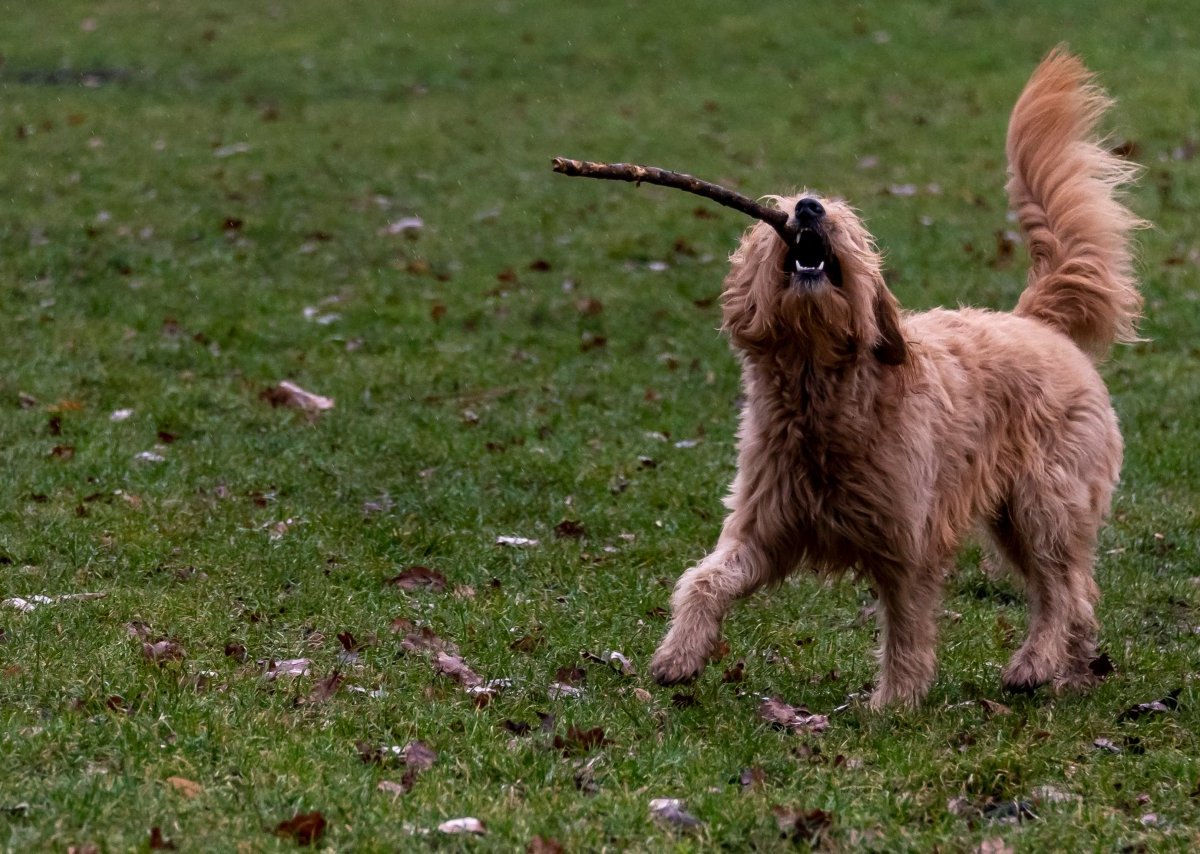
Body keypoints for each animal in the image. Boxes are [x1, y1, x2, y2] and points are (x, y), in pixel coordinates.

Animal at [648, 50, 1142, 710]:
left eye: (848, 221)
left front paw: (896, 704)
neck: (821, 394)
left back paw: (1035, 663)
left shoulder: (908, 542)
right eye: (783, 207)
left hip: (1045, 503)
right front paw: (679, 655)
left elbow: (906, 627)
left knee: (1062, 587)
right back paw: (1073, 671)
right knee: (1076, 593)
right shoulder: (764, 530)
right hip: (1019, 517)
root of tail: (1035, 320)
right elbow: (705, 579)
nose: (809, 206)